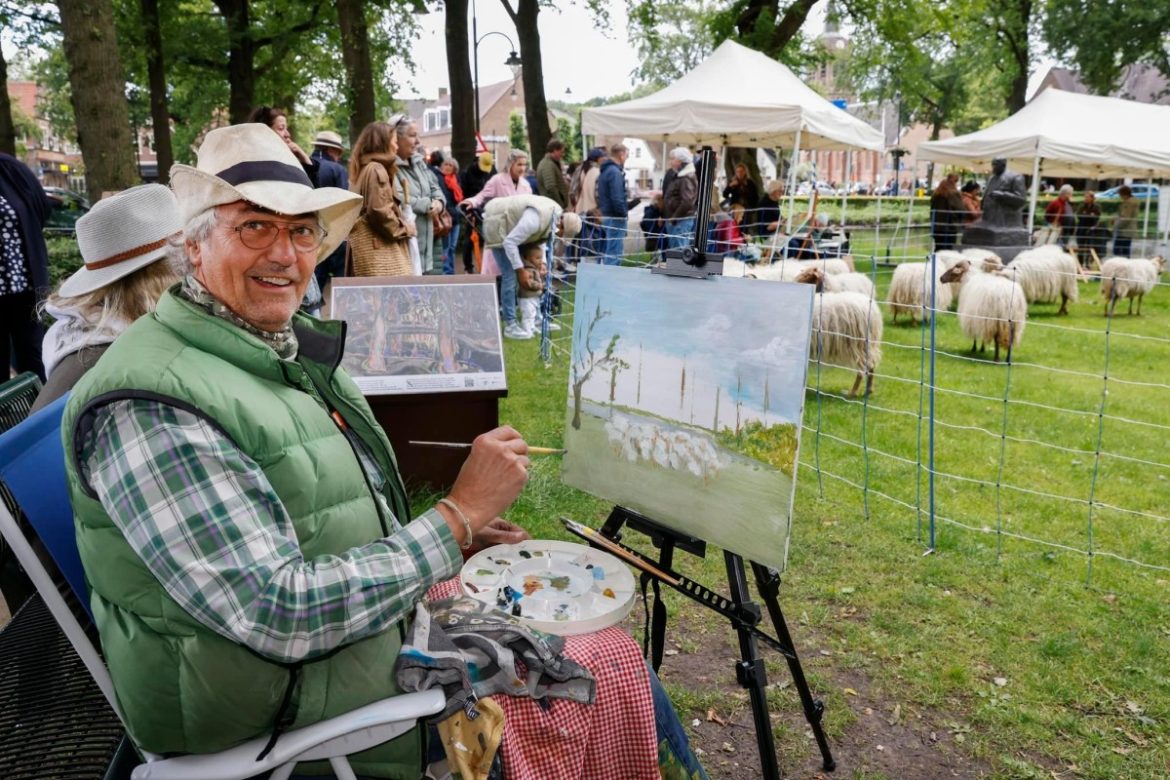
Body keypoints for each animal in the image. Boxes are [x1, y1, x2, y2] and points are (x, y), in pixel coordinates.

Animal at [804, 271, 884, 399]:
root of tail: (874, 309)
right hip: (868, 345)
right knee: (871, 366)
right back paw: (868, 390)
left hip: (859, 344)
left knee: (864, 369)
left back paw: (853, 392)